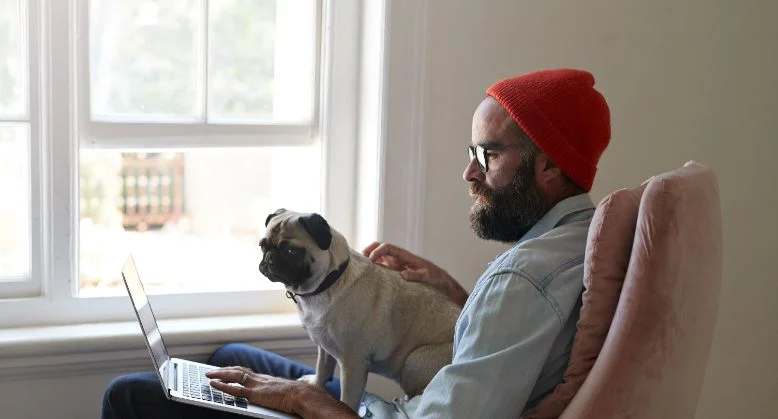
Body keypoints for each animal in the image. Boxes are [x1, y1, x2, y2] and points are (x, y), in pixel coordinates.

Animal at [258, 208, 458, 412]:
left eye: (292, 251)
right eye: (262, 247)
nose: (269, 257)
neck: (331, 280)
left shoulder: (352, 363)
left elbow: (347, 400)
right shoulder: (324, 347)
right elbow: (322, 369)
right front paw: (315, 385)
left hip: (414, 362)